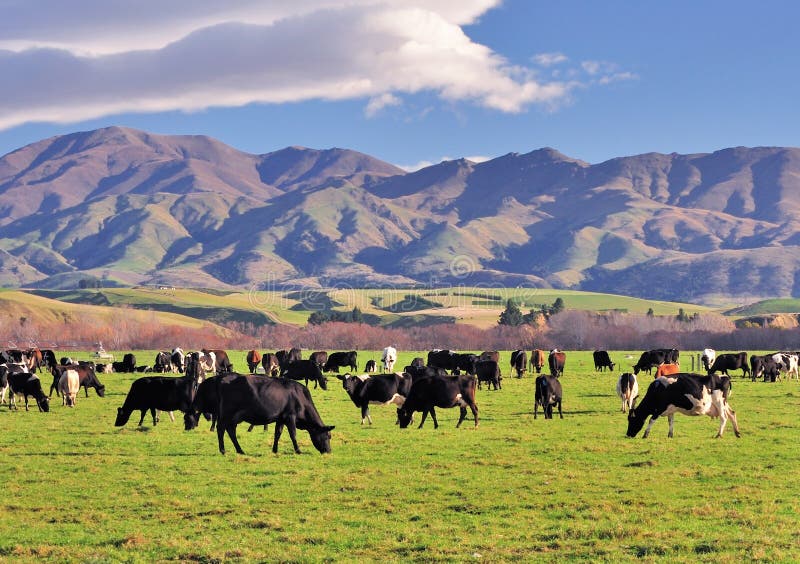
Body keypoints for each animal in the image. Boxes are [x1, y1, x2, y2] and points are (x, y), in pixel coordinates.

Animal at [185, 374, 334, 455]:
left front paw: (275, 450)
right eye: (327, 436)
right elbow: (293, 434)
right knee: (221, 429)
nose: (329, 451)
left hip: (233, 417)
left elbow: (278, 433)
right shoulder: (290, 416)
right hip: (228, 414)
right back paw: (223, 450)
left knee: (230, 431)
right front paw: (298, 450)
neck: (299, 396)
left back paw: (240, 450)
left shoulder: (281, 418)